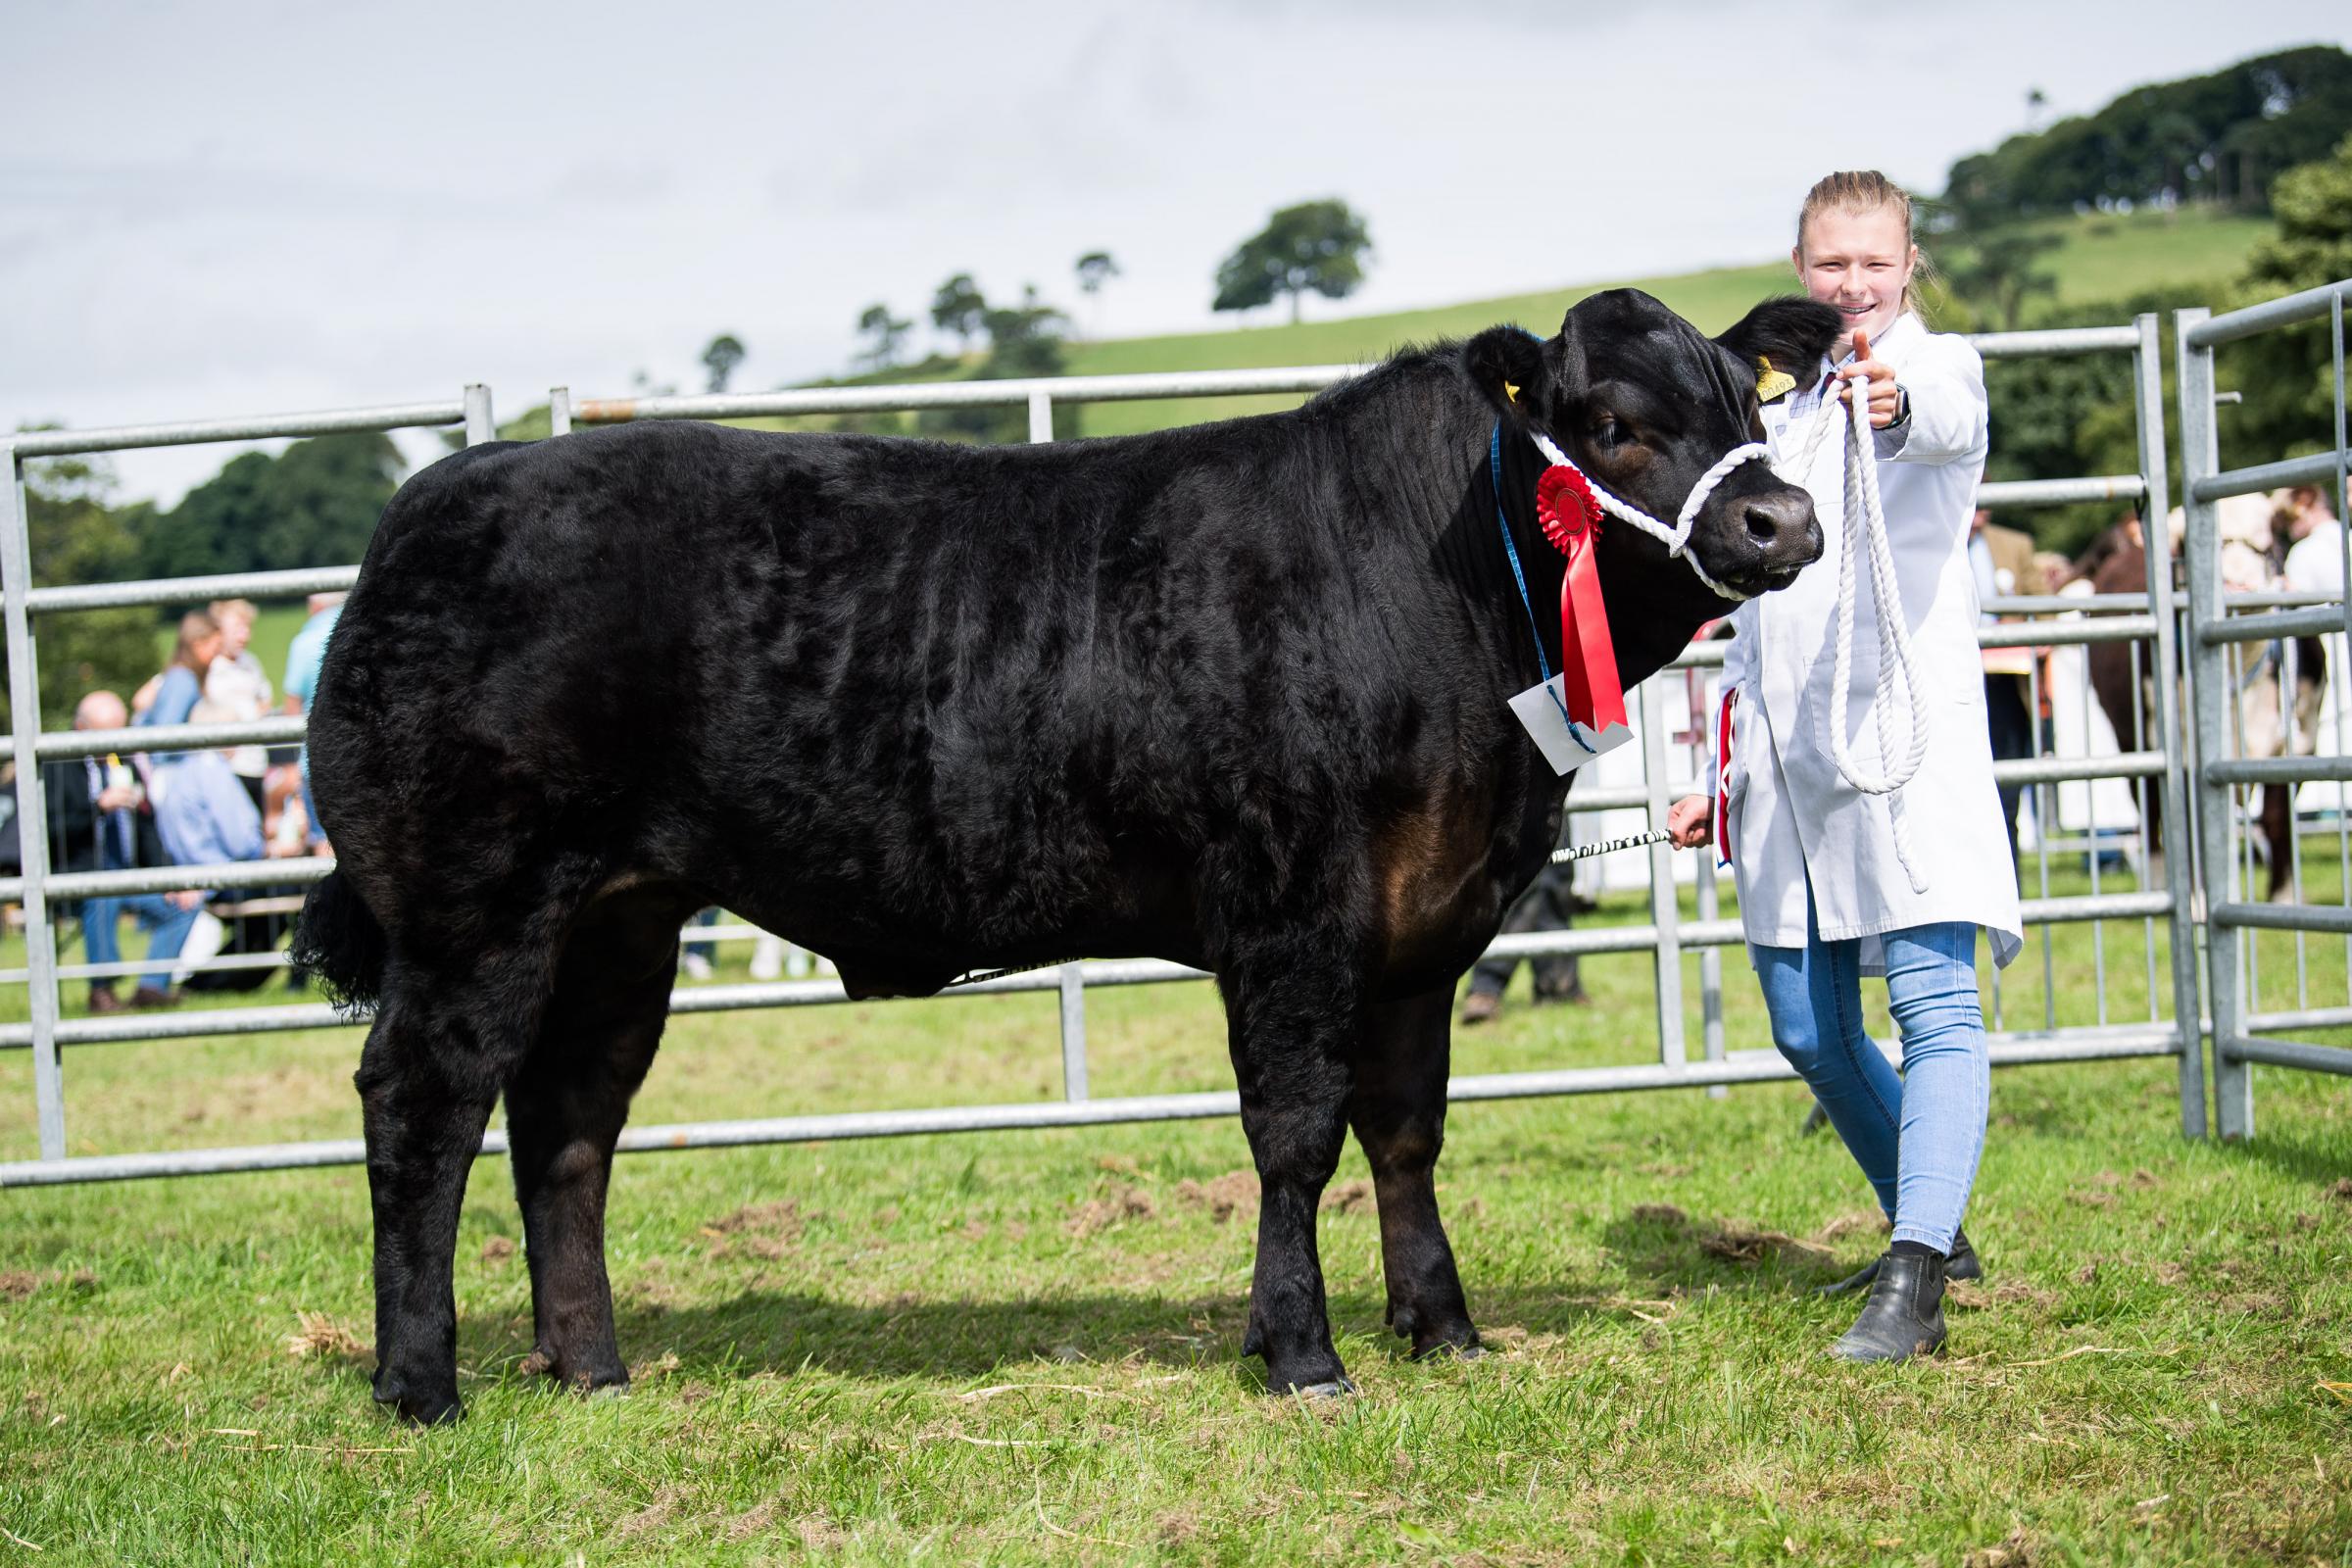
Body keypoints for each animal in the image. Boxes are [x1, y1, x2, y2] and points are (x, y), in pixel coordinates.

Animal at [298, 285, 1835, 1419]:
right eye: (1613, 422)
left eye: (1753, 402)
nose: (1785, 520)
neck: (1446, 589)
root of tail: (443, 492)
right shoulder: (1293, 914)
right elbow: (1297, 1133)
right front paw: (1301, 1353)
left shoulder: (1424, 926)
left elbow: (1406, 1130)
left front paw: (1443, 1329)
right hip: (475, 908)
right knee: (421, 1102)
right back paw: (420, 1386)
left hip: (619, 920)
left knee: (567, 1123)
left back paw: (594, 1369)